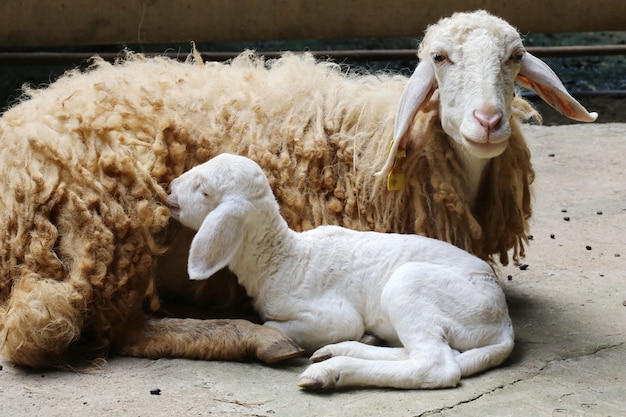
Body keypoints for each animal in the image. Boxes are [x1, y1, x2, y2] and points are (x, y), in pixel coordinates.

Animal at [167, 154, 512, 390]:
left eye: (204, 190)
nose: (169, 190)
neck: (282, 258)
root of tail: (504, 325)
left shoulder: (332, 315)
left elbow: (272, 324)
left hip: (414, 286)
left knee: (437, 365)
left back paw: (330, 371)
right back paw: (340, 351)